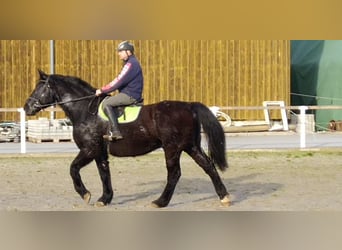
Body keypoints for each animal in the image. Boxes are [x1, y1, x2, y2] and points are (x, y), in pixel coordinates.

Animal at [24, 69, 230, 208]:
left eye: (40, 88)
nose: (27, 107)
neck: (86, 111)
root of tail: (188, 105)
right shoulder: (99, 152)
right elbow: (104, 173)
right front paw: (105, 198)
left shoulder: (89, 149)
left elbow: (73, 169)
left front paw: (85, 194)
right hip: (190, 146)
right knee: (208, 166)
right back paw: (224, 197)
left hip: (172, 148)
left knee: (174, 173)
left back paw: (160, 202)